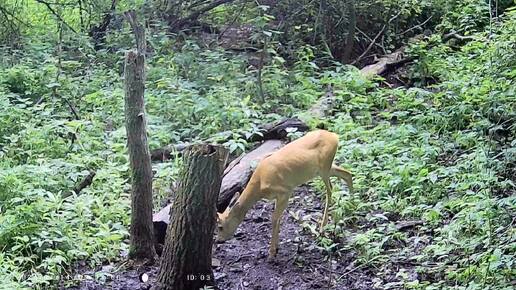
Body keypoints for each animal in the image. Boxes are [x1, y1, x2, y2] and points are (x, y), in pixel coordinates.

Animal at [216, 130, 352, 260]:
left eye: (220, 227)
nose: (219, 240)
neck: (260, 184)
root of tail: (334, 136)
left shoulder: (286, 191)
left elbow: (274, 218)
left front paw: (271, 253)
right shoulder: (278, 196)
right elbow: (279, 218)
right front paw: (276, 248)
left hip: (324, 167)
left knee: (330, 189)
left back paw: (324, 225)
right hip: (325, 167)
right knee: (346, 173)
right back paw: (350, 202)